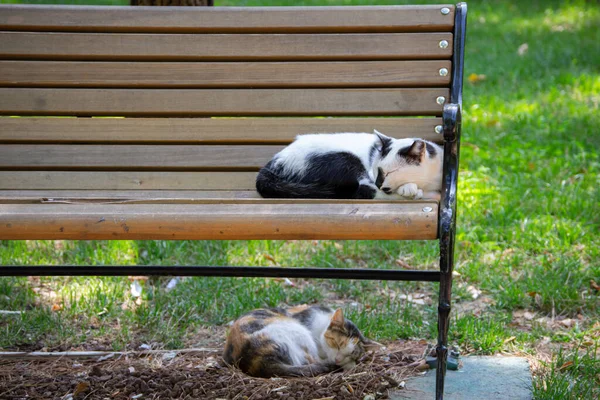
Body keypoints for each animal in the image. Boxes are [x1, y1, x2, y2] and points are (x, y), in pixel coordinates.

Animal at [255, 130, 442, 200]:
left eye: (389, 172)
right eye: (376, 170)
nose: (377, 182)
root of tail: (272, 164)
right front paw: (410, 189)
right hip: (344, 160)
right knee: (361, 191)